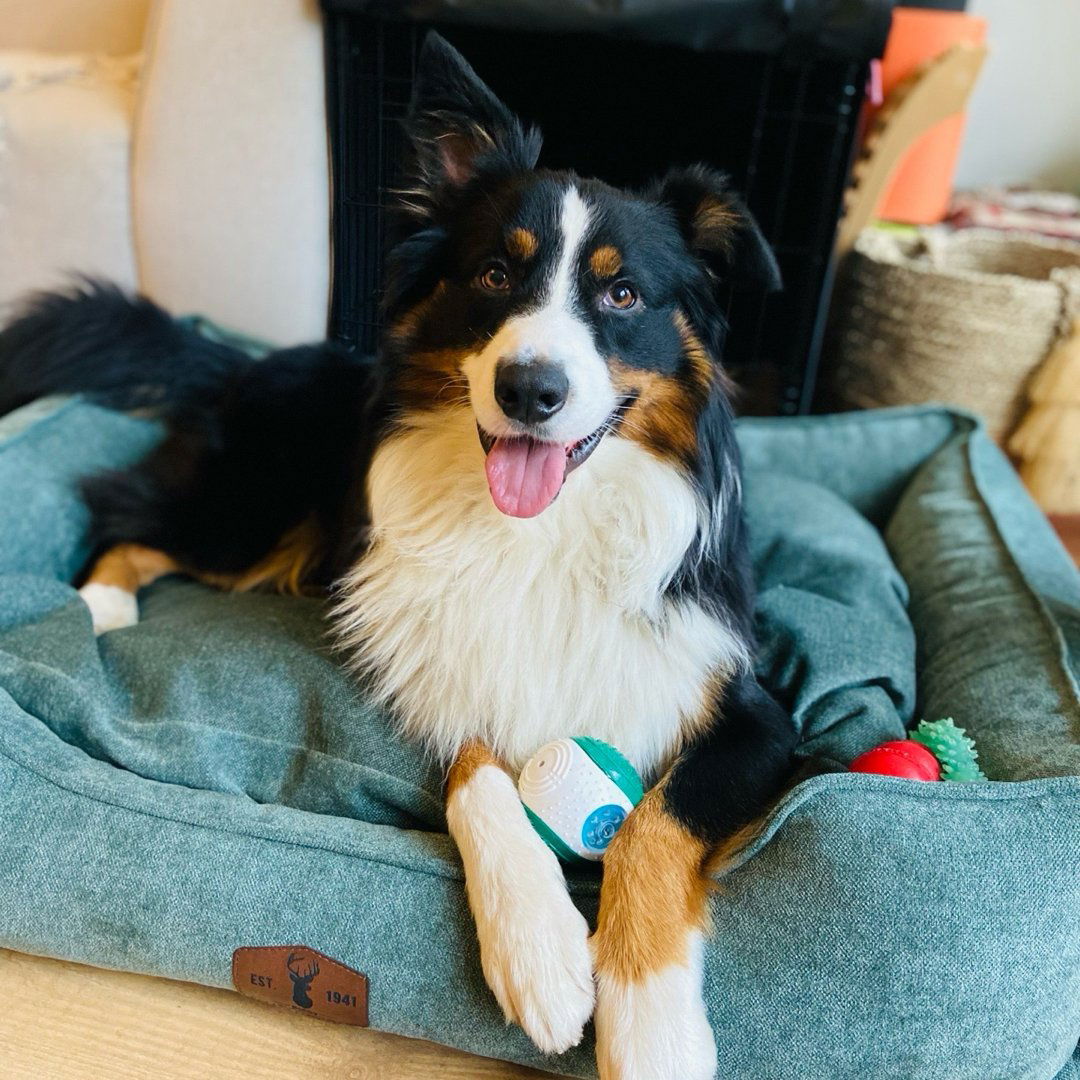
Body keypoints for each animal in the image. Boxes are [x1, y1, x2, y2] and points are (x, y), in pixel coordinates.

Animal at [0, 33, 797, 1080]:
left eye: (623, 294)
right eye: (496, 275)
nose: (531, 388)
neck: (541, 533)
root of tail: (241, 360)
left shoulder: (756, 713)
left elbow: (657, 824)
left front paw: (652, 1023)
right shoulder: (425, 644)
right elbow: (478, 769)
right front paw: (540, 952)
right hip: (253, 510)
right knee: (123, 518)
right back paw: (98, 609)